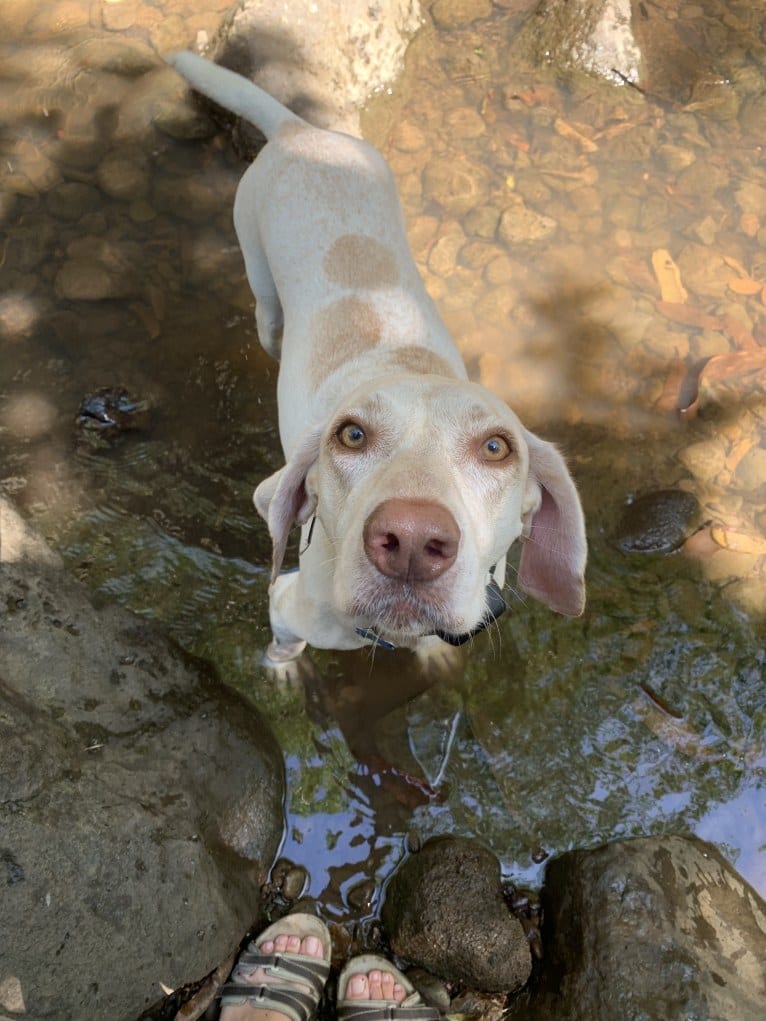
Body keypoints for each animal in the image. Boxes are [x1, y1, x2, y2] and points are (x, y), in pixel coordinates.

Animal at [166, 51, 588, 665]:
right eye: (351, 435)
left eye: (496, 447)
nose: (411, 541)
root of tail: (299, 130)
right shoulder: (285, 609)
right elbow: (283, 649)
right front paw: (280, 675)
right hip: (261, 285)